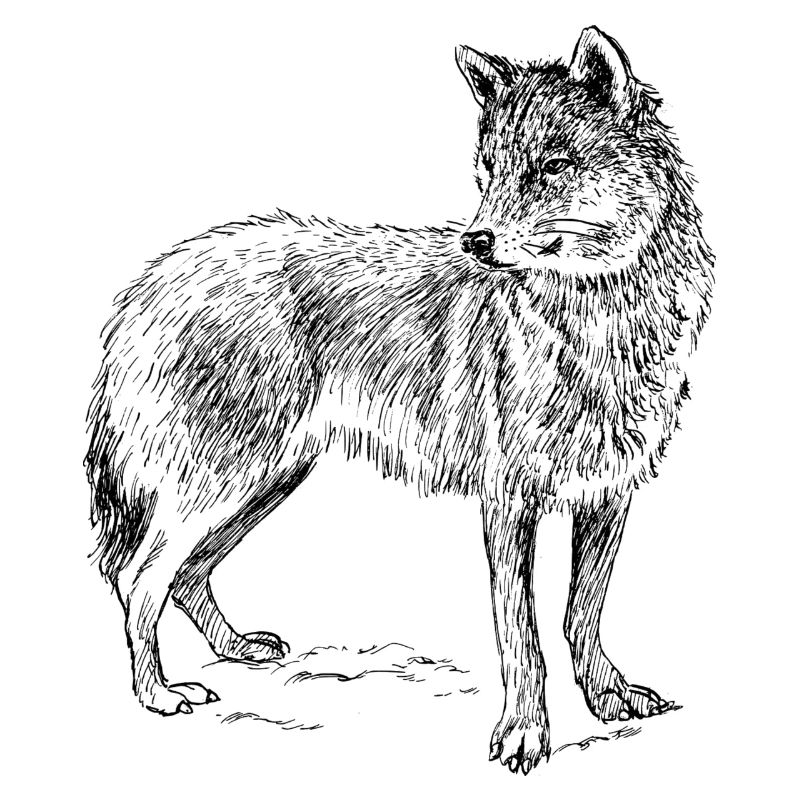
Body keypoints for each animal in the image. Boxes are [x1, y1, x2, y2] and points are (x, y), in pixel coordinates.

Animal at [85, 27, 713, 774]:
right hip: (219, 482)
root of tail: (149, 282)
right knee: (139, 579)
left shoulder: (608, 495)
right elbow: (523, 637)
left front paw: (607, 698)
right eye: (489, 171)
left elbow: (581, 615)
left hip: (266, 480)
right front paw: (525, 735)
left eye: (552, 168)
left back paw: (235, 650)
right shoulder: (507, 503)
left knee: (183, 575)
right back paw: (158, 694)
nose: (475, 241)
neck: (594, 322)